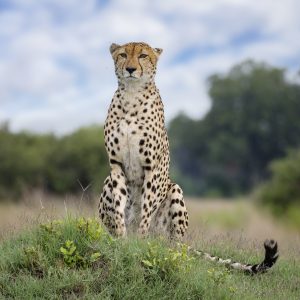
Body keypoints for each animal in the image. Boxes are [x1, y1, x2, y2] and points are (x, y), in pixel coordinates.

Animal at [99, 41, 278, 274]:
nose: (130, 69)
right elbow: (119, 207)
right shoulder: (116, 166)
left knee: (174, 248)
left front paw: (139, 243)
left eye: (143, 56)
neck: (131, 96)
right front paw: (122, 241)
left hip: (175, 193)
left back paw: (163, 248)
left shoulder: (152, 167)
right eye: (122, 55)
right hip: (107, 182)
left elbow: (146, 211)